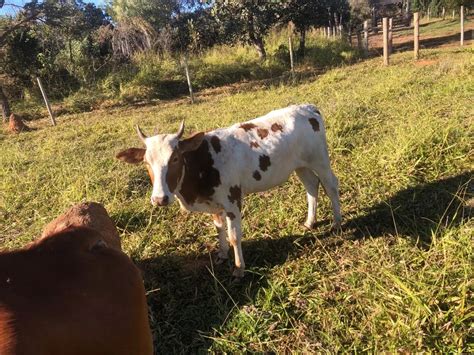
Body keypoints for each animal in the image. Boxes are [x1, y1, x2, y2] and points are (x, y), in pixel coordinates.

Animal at [117, 104, 340, 276]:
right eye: (146, 162)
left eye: (175, 158)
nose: (159, 199)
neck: (203, 162)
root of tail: (307, 108)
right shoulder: (213, 203)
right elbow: (219, 229)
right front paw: (222, 255)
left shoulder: (233, 200)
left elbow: (234, 236)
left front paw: (239, 268)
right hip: (300, 166)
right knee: (311, 186)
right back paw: (310, 222)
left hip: (319, 159)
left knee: (330, 185)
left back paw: (337, 223)